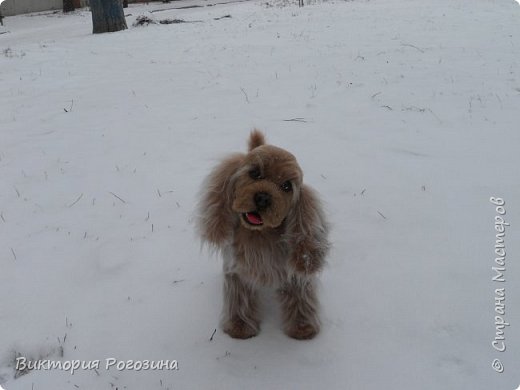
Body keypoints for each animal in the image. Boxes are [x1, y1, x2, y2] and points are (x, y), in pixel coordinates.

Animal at [195, 130, 330, 338]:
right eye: (255, 173)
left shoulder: (294, 275)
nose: (263, 198)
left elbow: (301, 297)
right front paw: (239, 325)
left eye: (286, 186)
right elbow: (239, 298)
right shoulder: (237, 270)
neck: (260, 235)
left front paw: (302, 326)